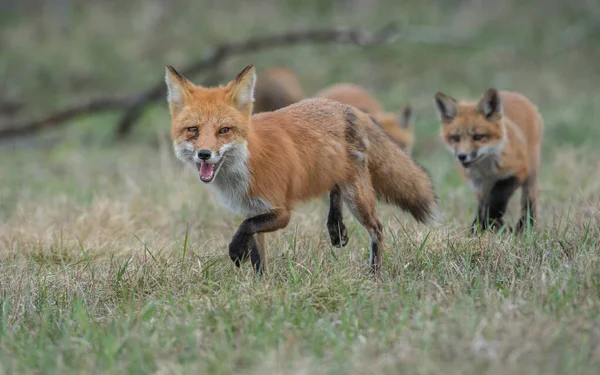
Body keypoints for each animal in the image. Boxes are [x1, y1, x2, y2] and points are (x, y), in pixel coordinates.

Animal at [166, 65, 438, 276]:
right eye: (193, 130)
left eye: (224, 130)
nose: (204, 154)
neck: (246, 162)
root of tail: (346, 107)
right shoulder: (254, 209)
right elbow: (258, 257)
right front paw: (261, 287)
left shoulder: (280, 212)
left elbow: (244, 228)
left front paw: (235, 252)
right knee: (335, 190)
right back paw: (336, 226)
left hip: (358, 198)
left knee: (377, 230)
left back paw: (375, 274)